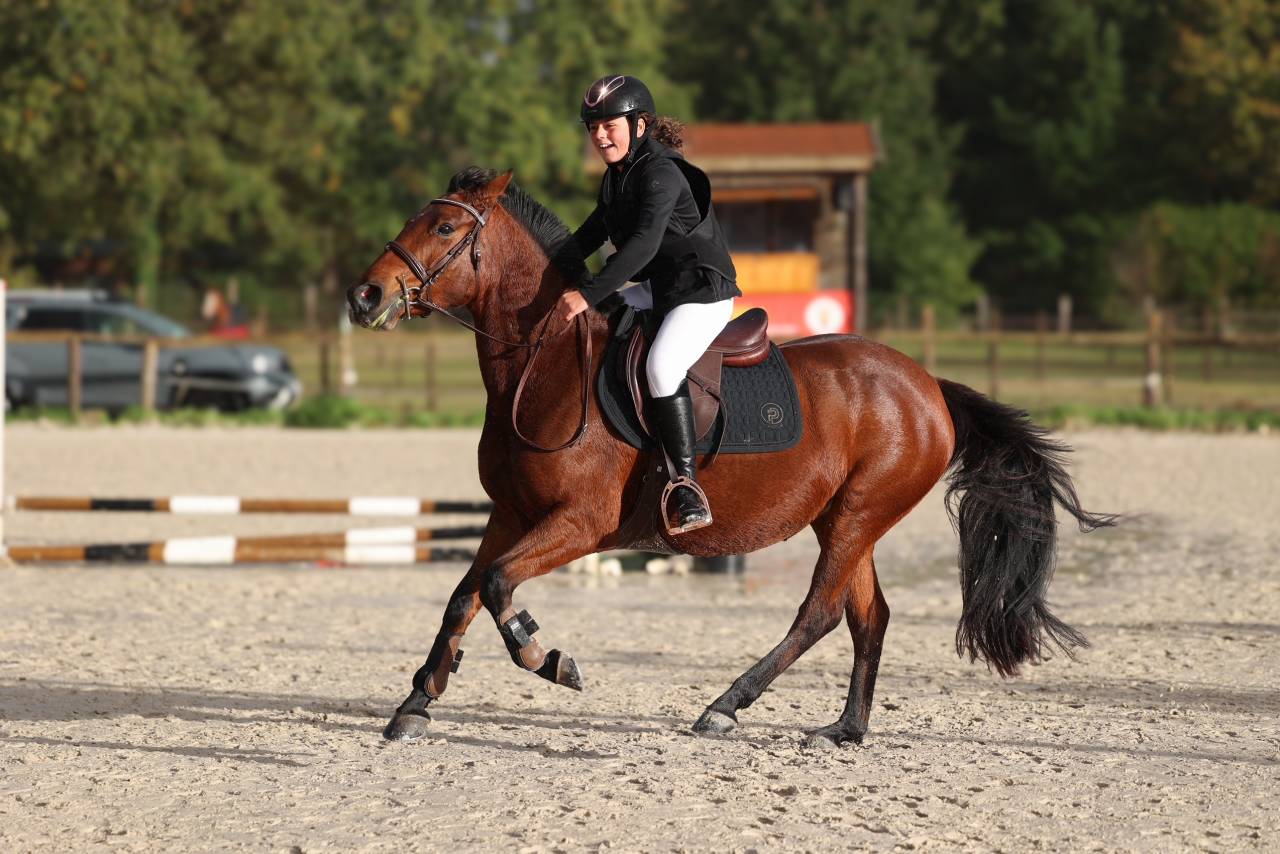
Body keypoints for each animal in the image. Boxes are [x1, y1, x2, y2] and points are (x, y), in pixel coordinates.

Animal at [345, 168, 1115, 747]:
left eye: (445, 229)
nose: (364, 295)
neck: (544, 365)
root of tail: (927, 385)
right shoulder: (509, 514)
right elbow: (466, 592)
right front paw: (416, 703)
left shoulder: (580, 524)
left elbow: (501, 584)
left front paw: (550, 659)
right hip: (847, 518)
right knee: (867, 616)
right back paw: (846, 729)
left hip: (858, 515)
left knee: (818, 614)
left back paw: (724, 706)